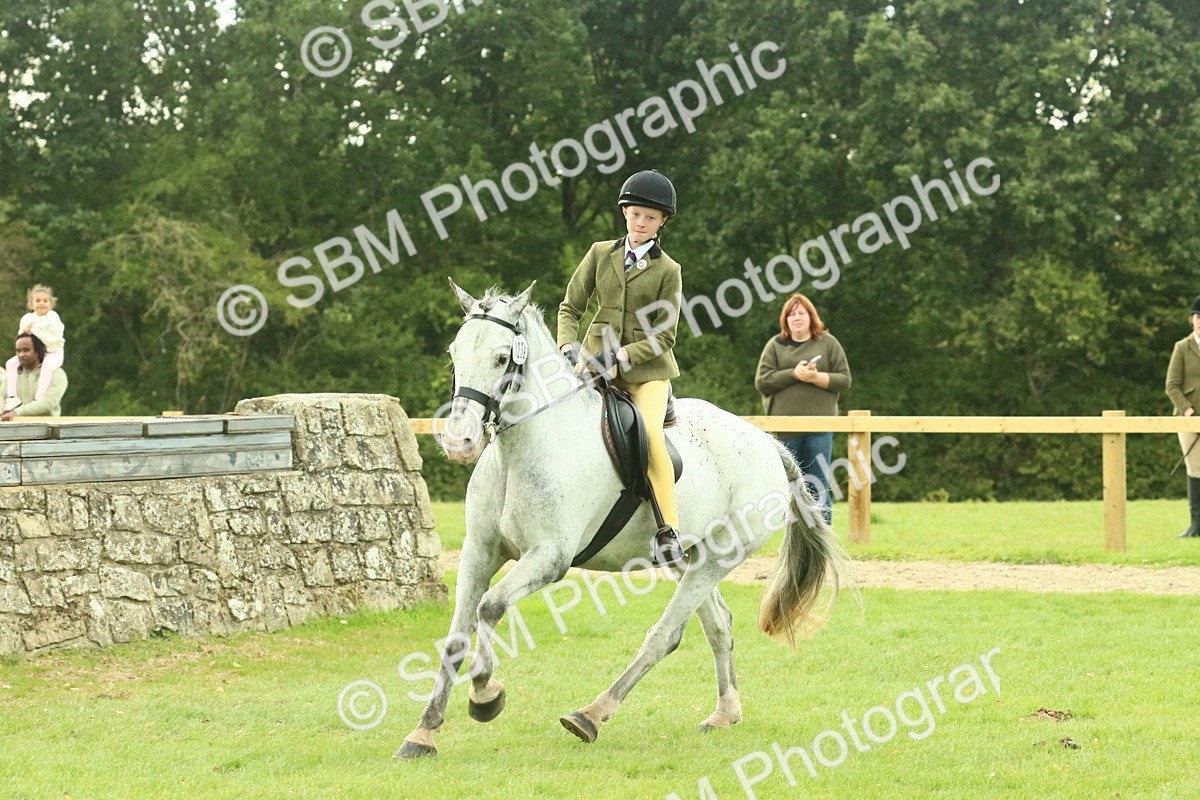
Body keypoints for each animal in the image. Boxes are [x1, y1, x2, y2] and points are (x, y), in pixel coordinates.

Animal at [395, 279, 848, 759]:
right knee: (717, 625)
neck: (523, 451)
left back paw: (590, 715)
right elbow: (456, 637)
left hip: (717, 559)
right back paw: (725, 713)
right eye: (455, 353)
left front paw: (485, 695)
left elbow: (490, 606)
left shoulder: (549, 558)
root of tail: (767, 443)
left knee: (664, 635)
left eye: (502, 358)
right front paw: (423, 732)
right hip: (691, 556)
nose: (459, 442)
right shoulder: (479, 551)